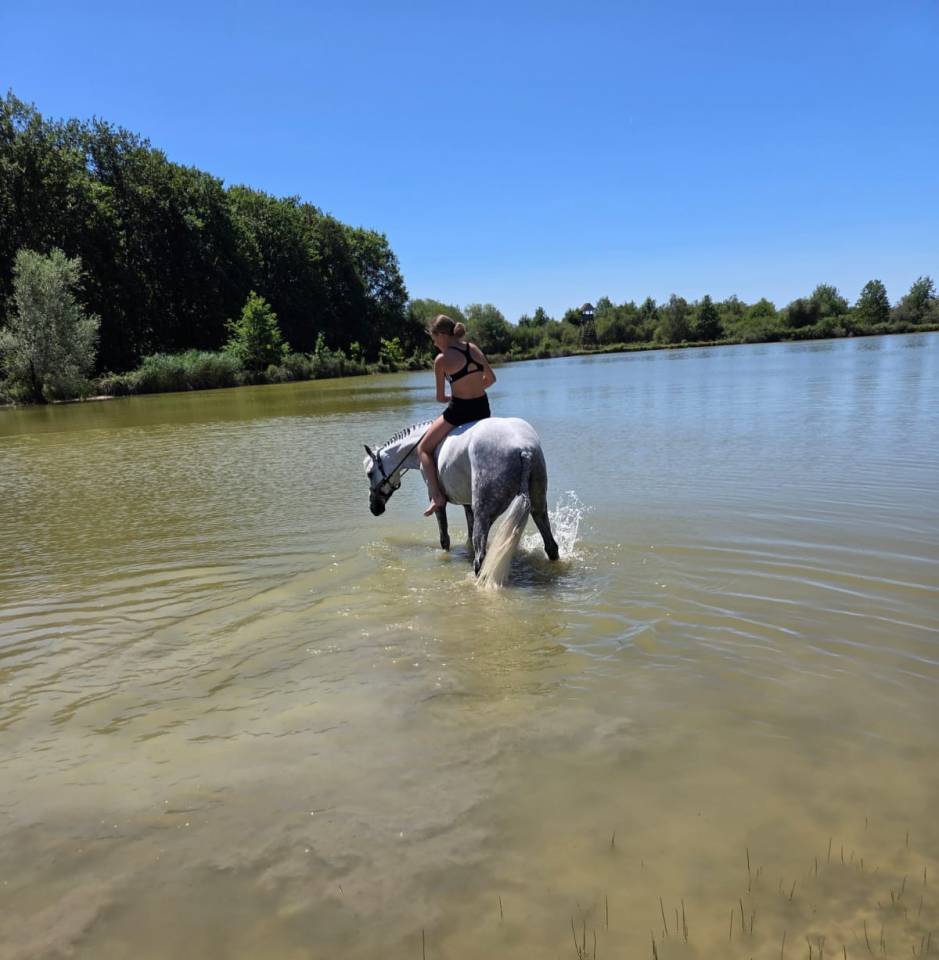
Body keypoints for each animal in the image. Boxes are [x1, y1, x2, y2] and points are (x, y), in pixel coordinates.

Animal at [363, 417, 560, 579]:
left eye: (369, 473)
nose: (374, 509)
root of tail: (524, 450)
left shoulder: (437, 502)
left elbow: (444, 538)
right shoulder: (467, 504)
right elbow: (468, 536)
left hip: (485, 513)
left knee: (480, 559)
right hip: (538, 505)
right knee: (551, 545)